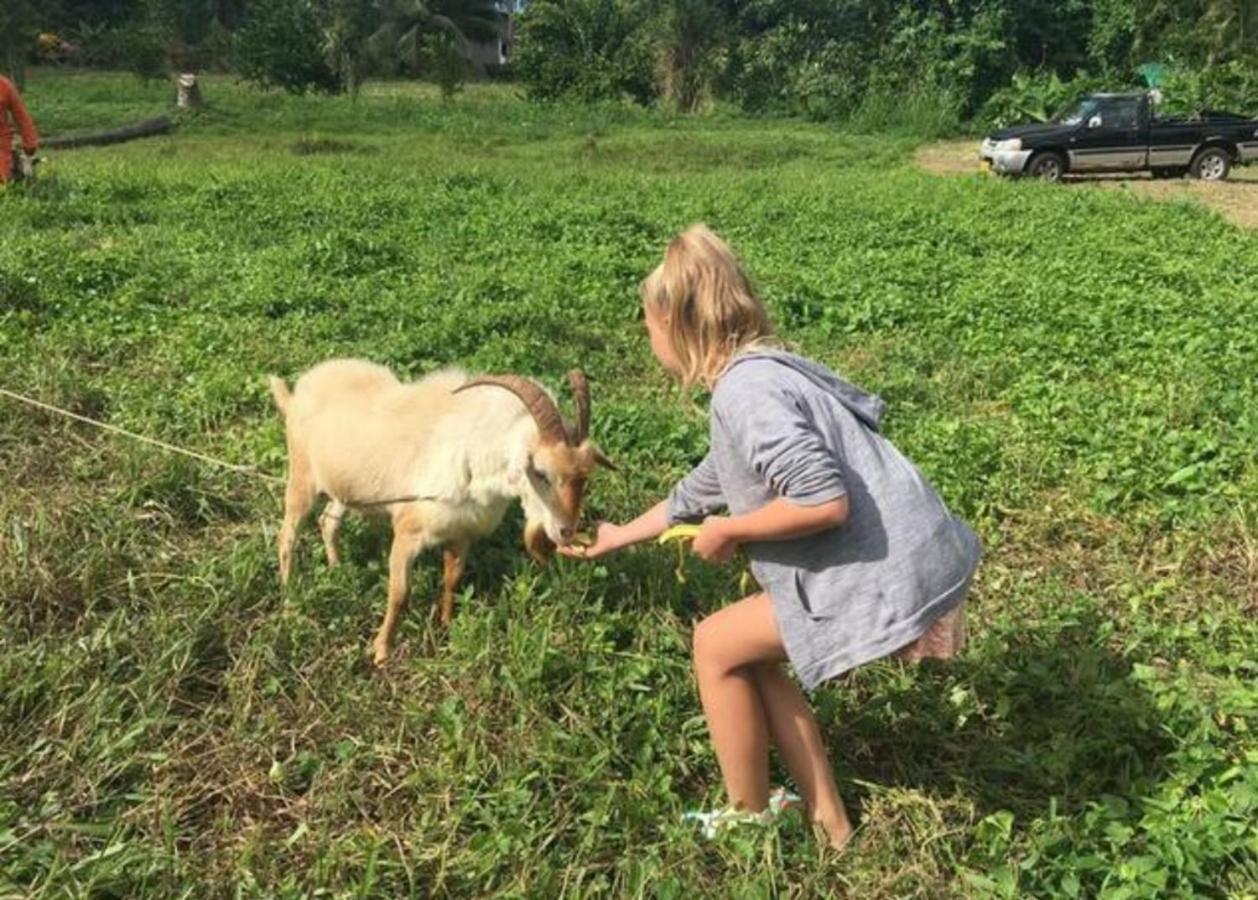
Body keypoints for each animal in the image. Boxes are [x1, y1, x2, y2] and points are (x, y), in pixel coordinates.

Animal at [269, 362, 613, 664]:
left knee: (328, 521)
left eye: (584, 476)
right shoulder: (407, 533)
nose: (566, 531)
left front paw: (446, 627)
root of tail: (297, 392)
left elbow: (453, 580)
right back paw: (289, 596)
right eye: (540, 472)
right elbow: (400, 594)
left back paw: (337, 568)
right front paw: (382, 652)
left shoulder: (461, 534)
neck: (473, 454)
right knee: (287, 535)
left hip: (345, 488)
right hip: (302, 478)